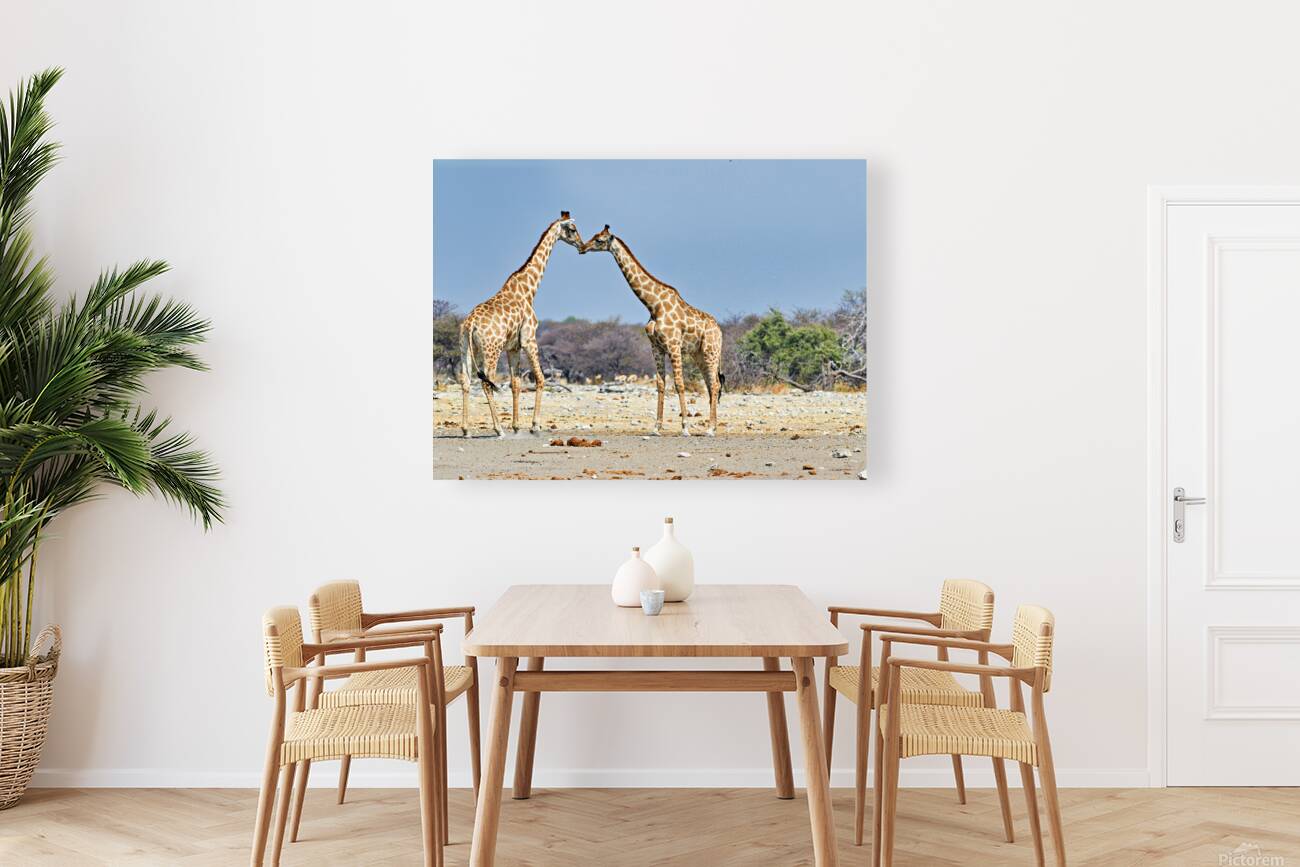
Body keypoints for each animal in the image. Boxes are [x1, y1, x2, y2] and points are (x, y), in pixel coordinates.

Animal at [458, 211, 583, 437]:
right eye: (573, 229)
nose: (581, 244)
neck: (528, 290)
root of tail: (470, 324)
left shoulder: (513, 347)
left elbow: (515, 383)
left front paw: (517, 426)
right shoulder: (529, 339)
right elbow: (540, 379)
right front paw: (534, 425)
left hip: (465, 349)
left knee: (465, 381)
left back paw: (466, 429)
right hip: (491, 350)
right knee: (486, 383)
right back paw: (498, 429)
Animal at [581, 225, 724, 436]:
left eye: (599, 240)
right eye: (594, 236)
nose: (582, 247)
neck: (654, 305)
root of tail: (720, 330)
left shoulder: (673, 346)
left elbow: (679, 384)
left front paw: (685, 427)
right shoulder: (656, 347)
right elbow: (661, 384)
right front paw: (656, 427)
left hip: (710, 351)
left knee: (714, 384)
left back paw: (711, 429)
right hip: (698, 354)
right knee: (710, 384)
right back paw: (711, 426)